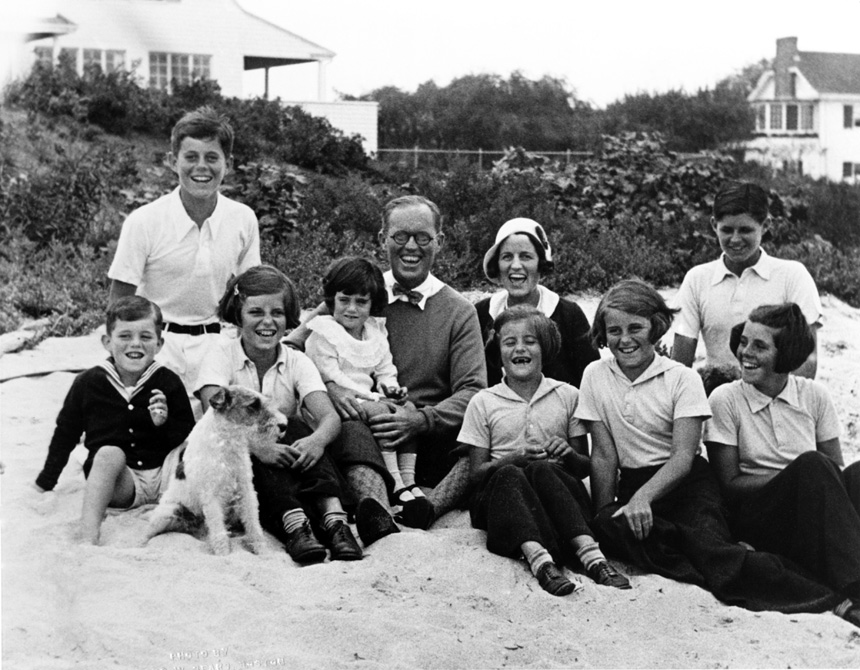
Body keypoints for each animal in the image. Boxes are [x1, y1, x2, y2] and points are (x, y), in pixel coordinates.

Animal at [144, 386, 286, 552]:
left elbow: (253, 522)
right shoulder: (211, 495)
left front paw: (261, 549)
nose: (284, 426)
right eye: (253, 405)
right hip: (169, 512)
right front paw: (223, 553)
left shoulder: (246, 490)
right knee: (148, 532)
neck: (227, 441)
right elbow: (218, 530)